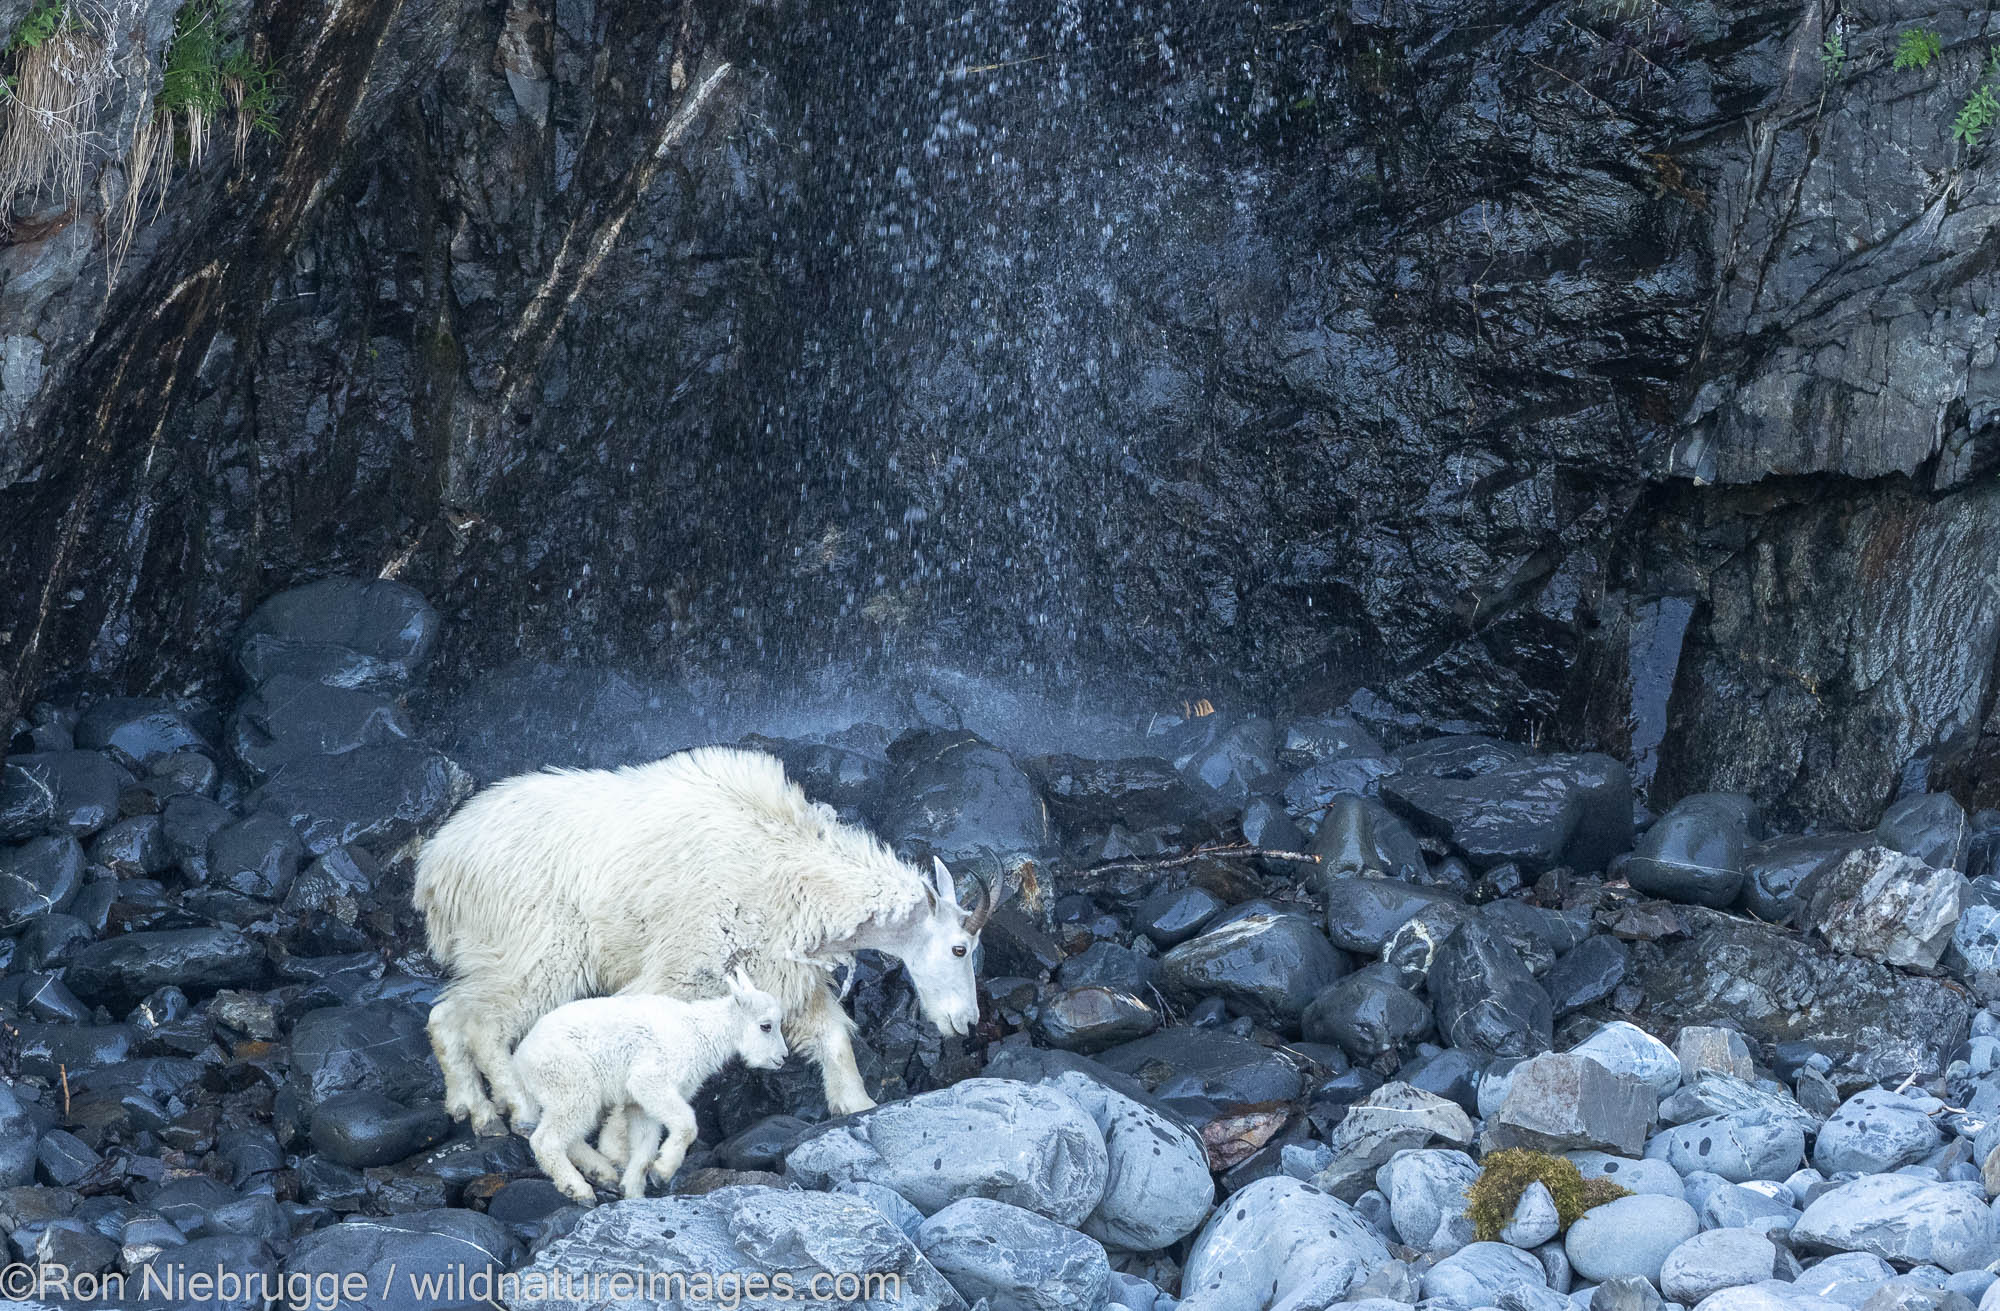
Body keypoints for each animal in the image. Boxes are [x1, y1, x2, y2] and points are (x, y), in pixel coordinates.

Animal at [414, 747, 992, 1135]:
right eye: (960, 949)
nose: (966, 1023)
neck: (796, 868)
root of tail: (437, 865)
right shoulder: (690, 960)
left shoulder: (779, 966)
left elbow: (830, 1034)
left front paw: (857, 1104)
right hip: (536, 942)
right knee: (487, 1022)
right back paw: (519, 1109)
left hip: (489, 945)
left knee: (449, 1013)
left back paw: (473, 1109)